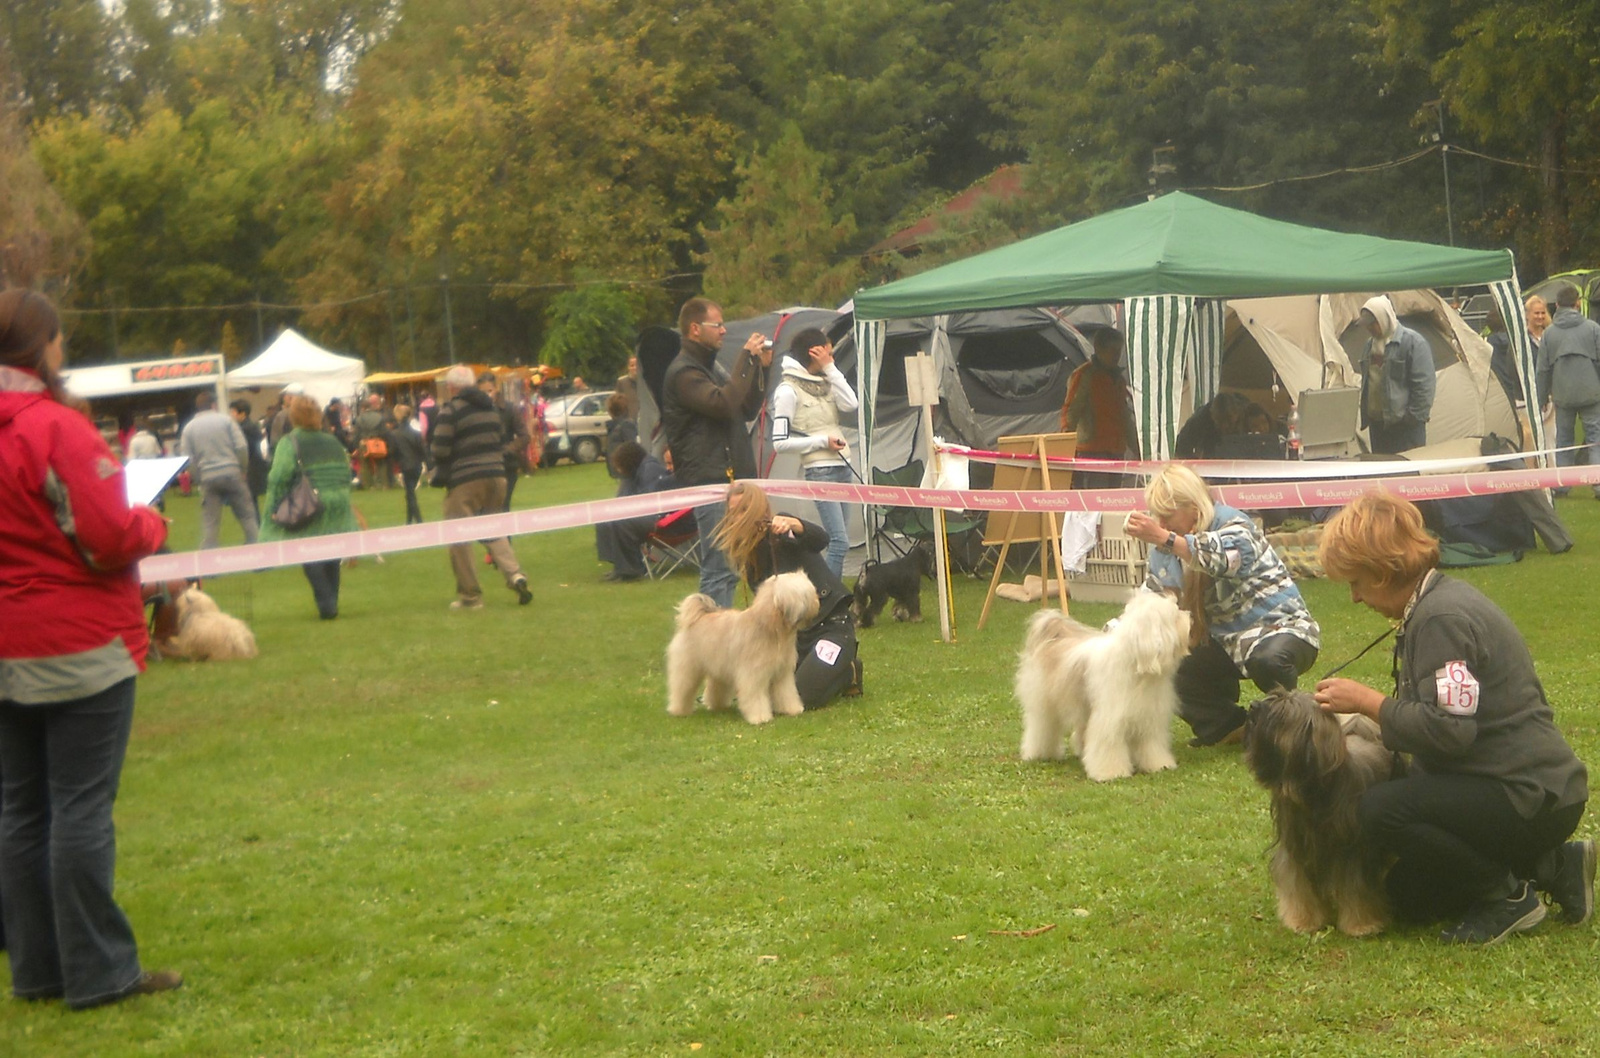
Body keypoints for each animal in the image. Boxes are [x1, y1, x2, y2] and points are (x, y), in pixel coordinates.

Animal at [662, 569, 819, 726]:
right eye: (808, 593)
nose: (818, 601)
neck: (770, 627)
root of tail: (696, 618)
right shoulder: (753, 675)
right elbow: (755, 696)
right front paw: (760, 717)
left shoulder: (782, 673)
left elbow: (786, 693)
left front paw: (792, 709)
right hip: (687, 668)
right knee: (681, 688)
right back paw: (679, 710)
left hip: (719, 668)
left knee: (715, 687)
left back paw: (718, 705)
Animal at [1017, 589, 1196, 781]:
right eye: (1174, 617)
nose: (1190, 618)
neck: (1136, 666)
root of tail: (1052, 638)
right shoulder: (1110, 719)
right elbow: (1108, 745)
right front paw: (1111, 772)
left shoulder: (1148, 716)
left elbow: (1151, 745)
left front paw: (1159, 764)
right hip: (1043, 704)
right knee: (1041, 727)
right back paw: (1040, 753)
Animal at [1241, 688, 1408, 934]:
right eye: (1273, 696)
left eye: (1282, 711)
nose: (1252, 706)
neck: (1312, 795)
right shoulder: (1295, 850)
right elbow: (1297, 884)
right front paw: (1302, 920)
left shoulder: (1353, 852)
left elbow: (1356, 887)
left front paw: (1361, 925)